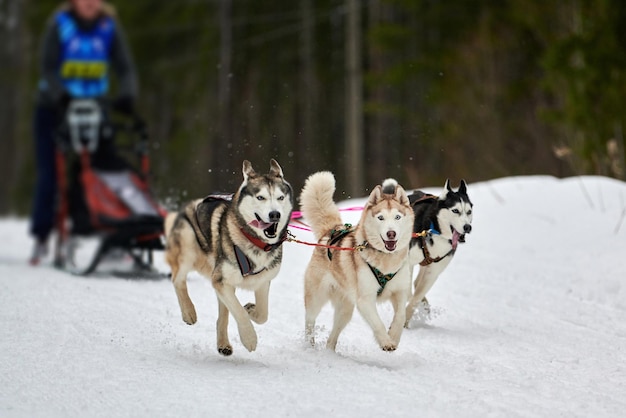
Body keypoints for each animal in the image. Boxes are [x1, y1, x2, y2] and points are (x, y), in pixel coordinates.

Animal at [165, 160, 294, 356]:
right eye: (260, 197)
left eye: (280, 197)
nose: (275, 214)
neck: (255, 241)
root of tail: (187, 206)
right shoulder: (221, 281)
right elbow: (239, 312)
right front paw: (249, 338)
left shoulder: (262, 282)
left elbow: (262, 314)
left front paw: (251, 309)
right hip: (189, 247)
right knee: (177, 279)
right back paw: (189, 312)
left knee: (223, 316)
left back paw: (223, 344)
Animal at [298, 171, 414, 352]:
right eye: (381, 217)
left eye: (397, 217)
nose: (391, 233)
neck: (386, 262)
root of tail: (331, 231)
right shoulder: (365, 300)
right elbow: (378, 323)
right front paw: (386, 342)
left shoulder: (400, 292)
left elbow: (401, 316)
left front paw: (394, 336)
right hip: (316, 298)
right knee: (309, 321)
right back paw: (309, 345)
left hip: (345, 310)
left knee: (332, 336)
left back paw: (330, 351)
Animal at [402, 180, 470, 326]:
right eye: (455, 210)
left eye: (469, 212)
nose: (468, 227)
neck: (435, 230)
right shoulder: (408, 262)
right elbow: (408, 291)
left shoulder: (433, 271)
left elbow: (416, 297)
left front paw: (408, 317)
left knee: (416, 283)